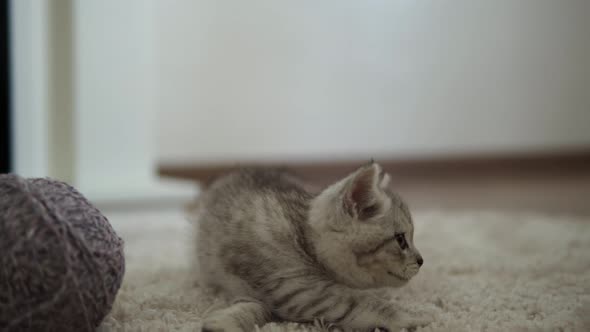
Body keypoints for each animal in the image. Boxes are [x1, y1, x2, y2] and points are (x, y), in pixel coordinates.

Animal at [197, 162, 432, 330]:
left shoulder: (285, 291)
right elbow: (365, 302)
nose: (421, 260)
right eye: (400, 240)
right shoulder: (294, 287)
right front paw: (412, 315)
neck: (302, 236)